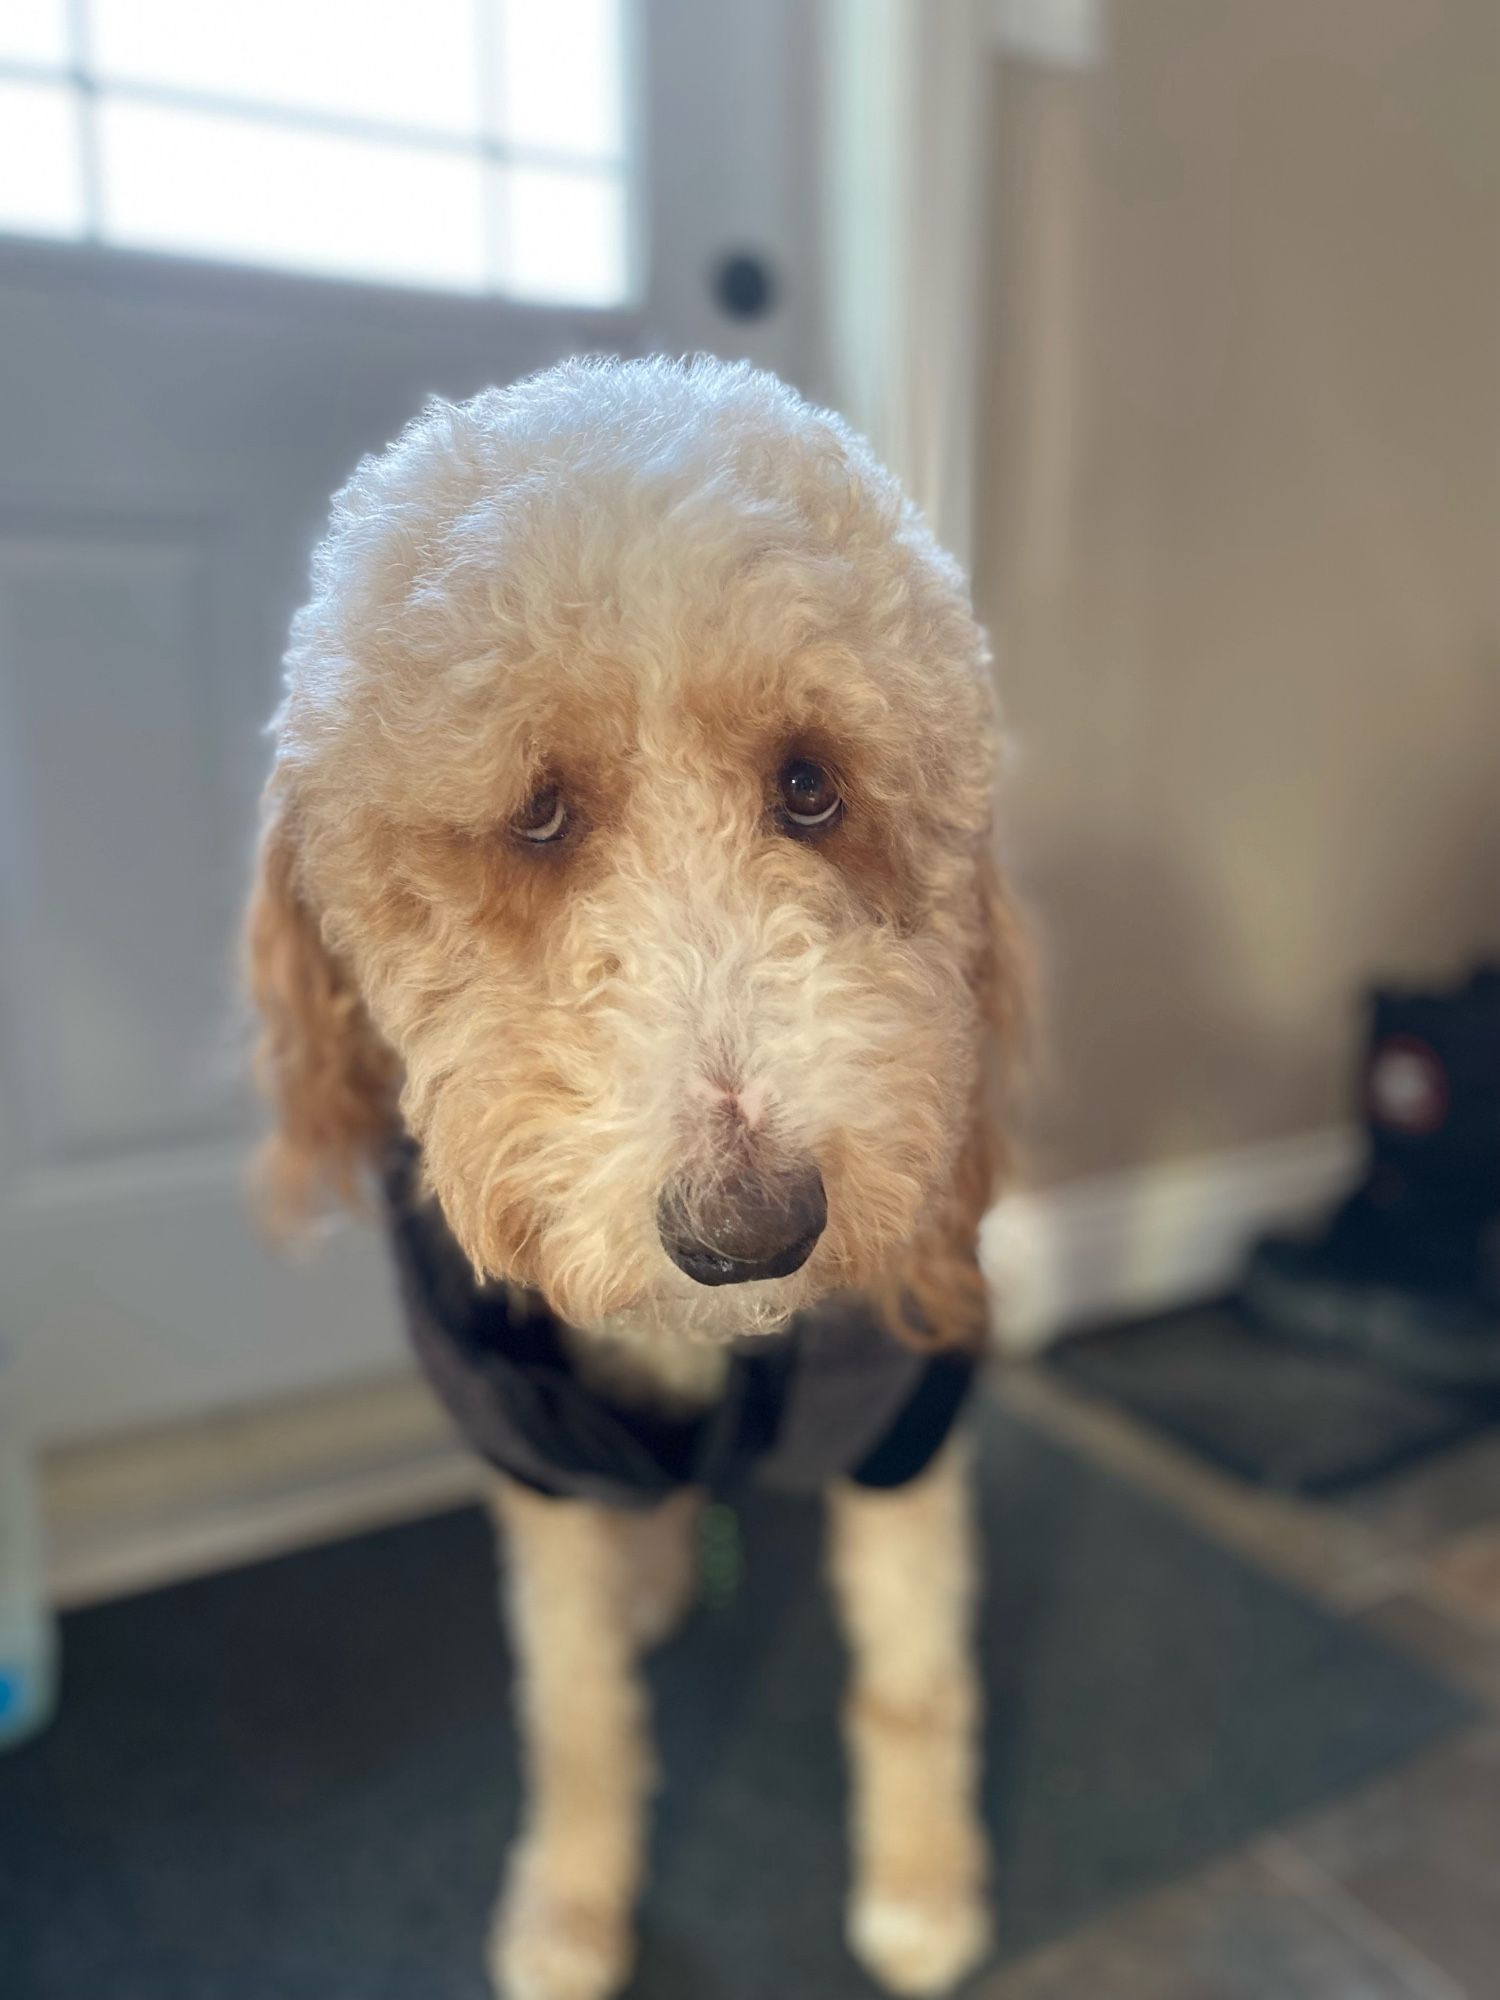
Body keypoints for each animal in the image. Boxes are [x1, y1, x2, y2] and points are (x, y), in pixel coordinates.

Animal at [247, 360, 1032, 2000]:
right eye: (538, 813)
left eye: (811, 785)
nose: (753, 1229)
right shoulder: (530, 1456)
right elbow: (574, 1714)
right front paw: (566, 1907)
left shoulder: (903, 1421)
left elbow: (915, 1680)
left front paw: (924, 1886)